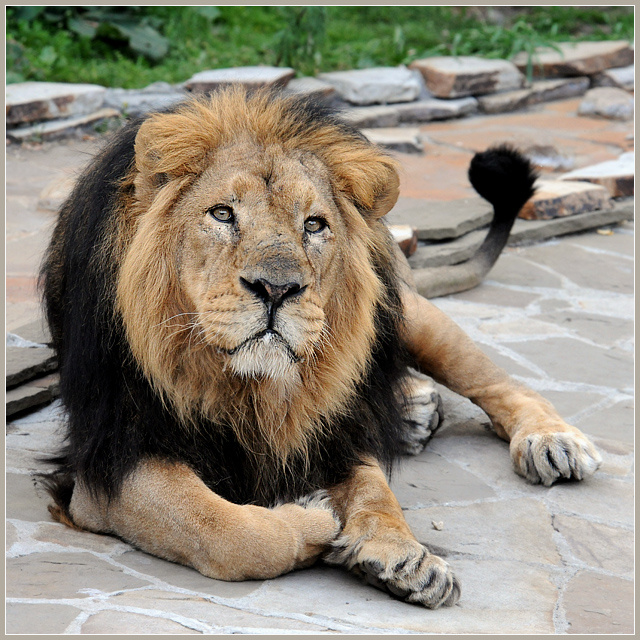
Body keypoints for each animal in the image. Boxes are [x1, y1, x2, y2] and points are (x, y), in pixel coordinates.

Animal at [40, 86, 601, 609]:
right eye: (222, 214)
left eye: (314, 224)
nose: (277, 288)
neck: (251, 388)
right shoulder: (109, 463)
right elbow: (224, 530)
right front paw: (315, 514)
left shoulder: (335, 431)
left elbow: (378, 492)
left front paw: (407, 558)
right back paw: (416, 411)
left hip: (403, 309)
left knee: (493, 377)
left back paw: (551, 439)